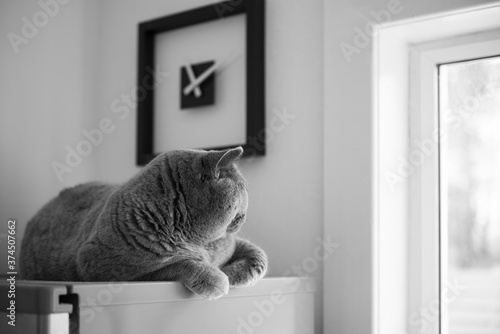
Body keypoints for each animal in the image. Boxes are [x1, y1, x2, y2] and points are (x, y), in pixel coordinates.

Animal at [21, 147, 268, 298]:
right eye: (244, 187)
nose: (250, 199)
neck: (201, 242)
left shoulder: (234, 243)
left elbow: (260, 258)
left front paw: (230, 273)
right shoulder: (104, 269)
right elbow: (175, 265)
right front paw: (216, 278)